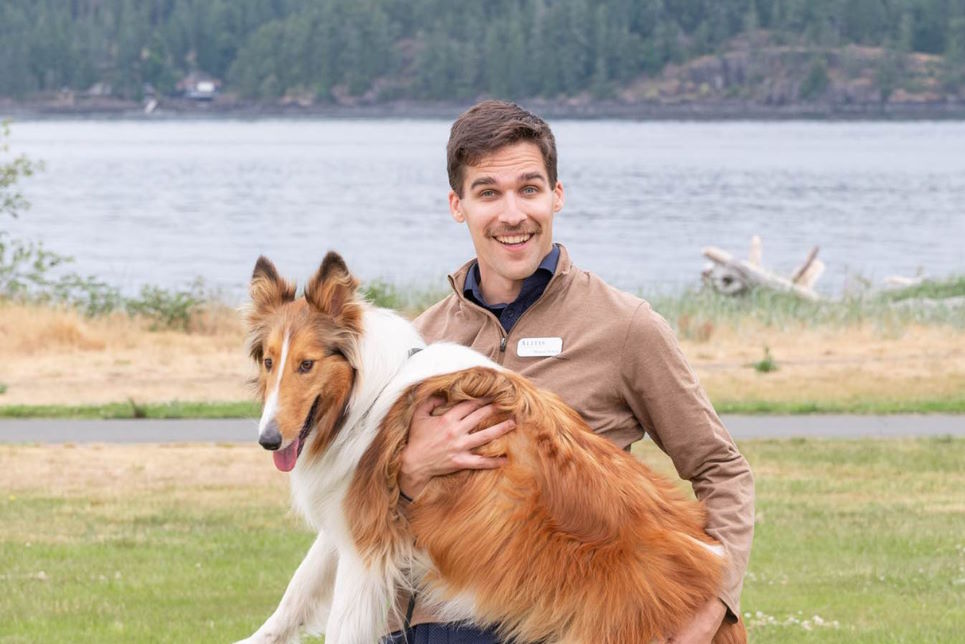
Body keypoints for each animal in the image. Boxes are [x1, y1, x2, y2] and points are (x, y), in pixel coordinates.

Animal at [235, 253, 744, 644]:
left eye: (306, 364)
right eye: (269, 362)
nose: (268, 440)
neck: (372, 390)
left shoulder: (368, 544)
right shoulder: (351, 518)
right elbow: (297, 590)